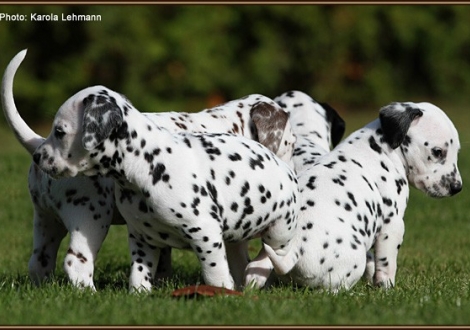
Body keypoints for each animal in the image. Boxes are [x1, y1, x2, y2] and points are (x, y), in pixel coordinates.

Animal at [1, 50, 296, 290]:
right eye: (291, 144)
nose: (293, 174)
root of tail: (38, 143)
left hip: (45, 221)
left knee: (39, 263)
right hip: (90, 215)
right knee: (77, 263)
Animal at [258, 101, 460, 292]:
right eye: (437, 152)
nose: (457, 187)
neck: (382, 148)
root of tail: (294, 252)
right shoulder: (392, 226)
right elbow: (386, 265)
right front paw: (386, 288)